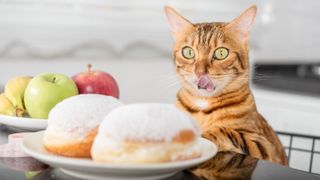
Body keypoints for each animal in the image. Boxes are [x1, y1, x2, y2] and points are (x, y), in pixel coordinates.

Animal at [164, 4, 288, 168]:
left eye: (221, 53)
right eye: (188, 52)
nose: (200, 72)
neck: (202, 106)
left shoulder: (264, 146)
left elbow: (227, 132)